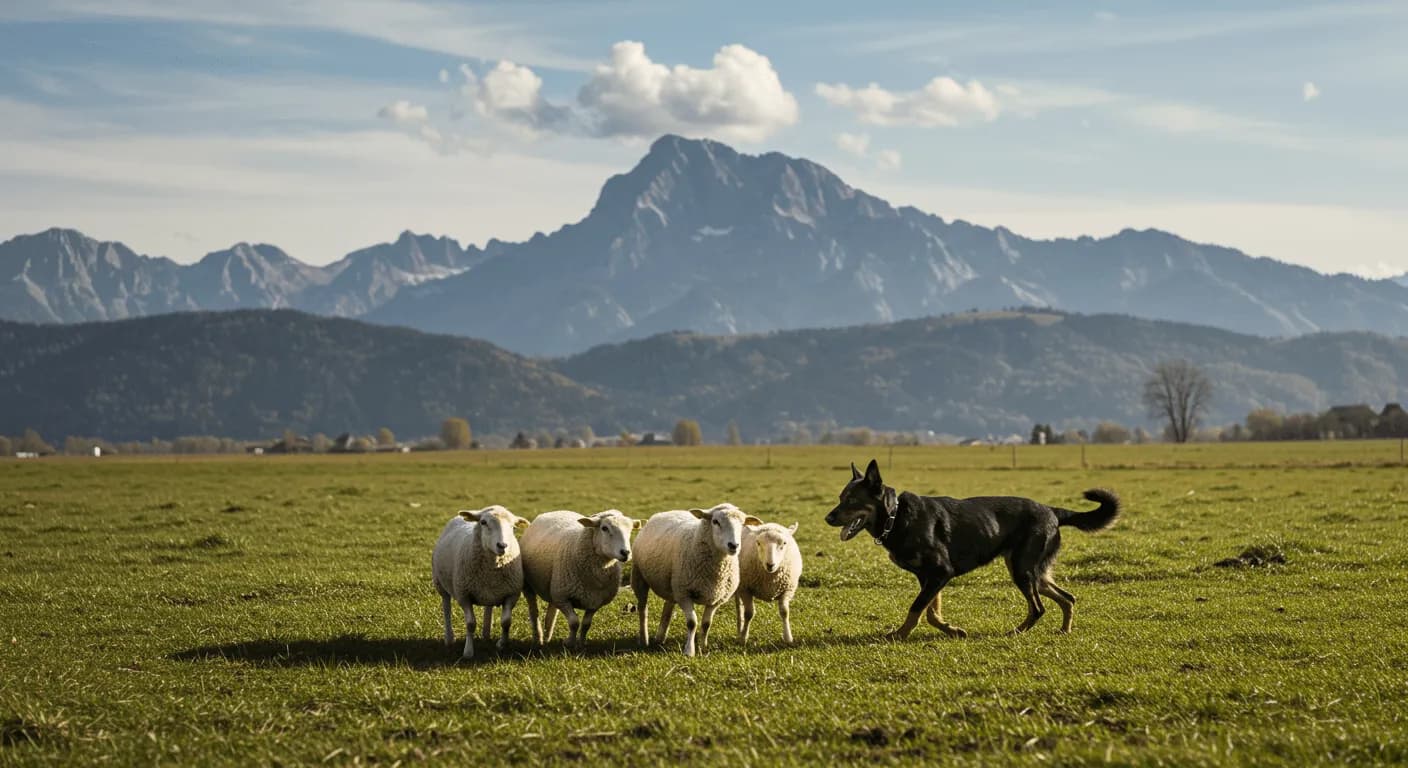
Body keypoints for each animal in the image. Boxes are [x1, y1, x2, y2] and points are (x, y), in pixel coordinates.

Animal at [431, 505, 528, 659]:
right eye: (483, 522)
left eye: (513, 527)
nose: (502, 545)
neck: (492, 567)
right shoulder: (464, 595)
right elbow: (470, 624)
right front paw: (468, 652)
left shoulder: (511, 595)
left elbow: (506, 622)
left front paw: (502, 644)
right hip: (440, 583)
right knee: (446, 607)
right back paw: (449, 638)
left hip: (489, 591)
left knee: (488, 607)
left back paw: (486, 634)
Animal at [520, 509, 643, 648]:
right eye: (604, 528)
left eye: (630, 530)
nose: (625, 553)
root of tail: (556, 511)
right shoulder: (564, 597)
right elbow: (574, 622)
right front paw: (569, 642)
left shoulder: (595, 601)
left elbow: (586, 624)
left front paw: (581, 643)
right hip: (530, 586)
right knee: (533, 612)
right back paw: (538, 638)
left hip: (554, 588)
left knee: (551, 611)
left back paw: (547, 636)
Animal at [631, 503, 761, 657]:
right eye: (715, 522)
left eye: (742, 524)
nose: (733, 545)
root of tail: (667, 512)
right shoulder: (684, 594)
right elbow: (692, 623)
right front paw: (689, 651)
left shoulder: (716, 599)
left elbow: (706, 623)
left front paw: (703, 647)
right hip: (640, 577)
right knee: (643, 609)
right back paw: (644, 639)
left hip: (673, 585)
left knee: (668, 606)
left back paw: (660, 638)